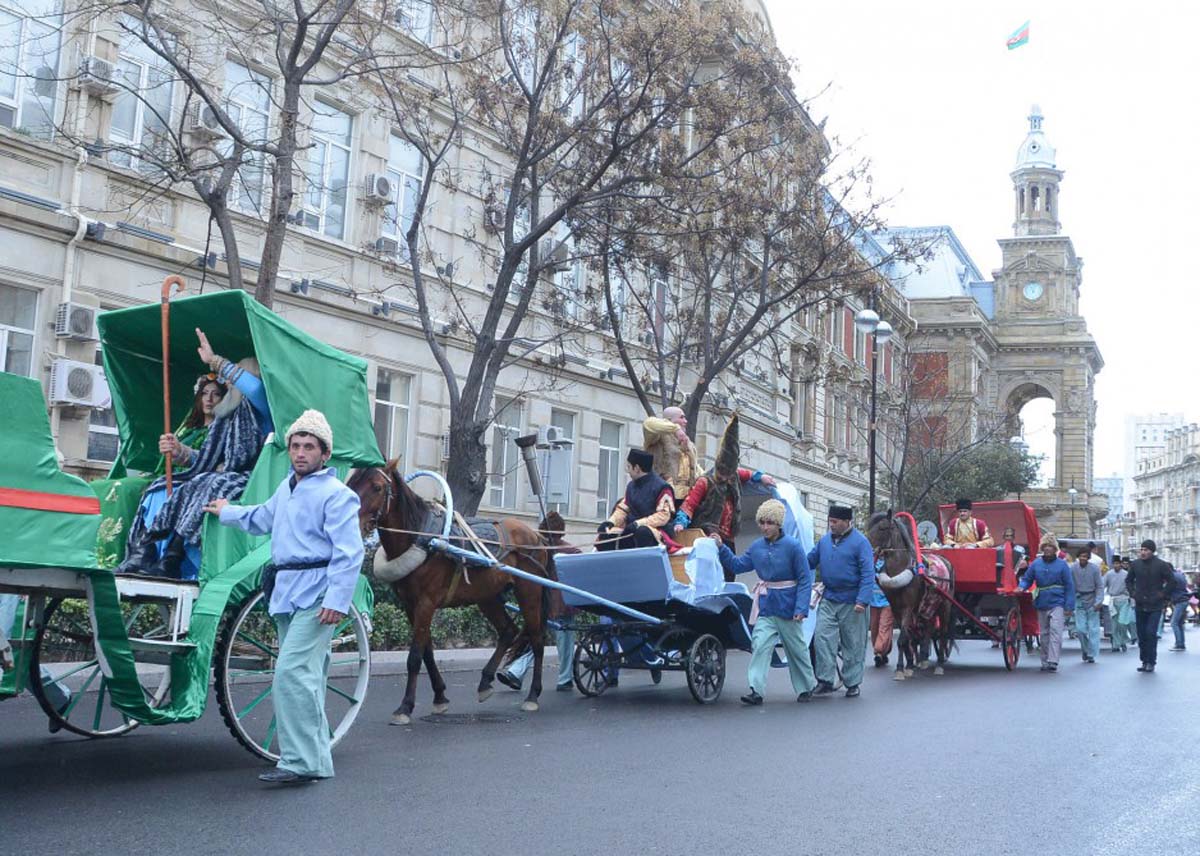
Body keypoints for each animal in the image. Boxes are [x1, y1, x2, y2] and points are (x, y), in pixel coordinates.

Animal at [348, 461, 552, 720]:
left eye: (377, 487)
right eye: (352, 482)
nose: (352, 521)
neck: (422, 538)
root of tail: (537, 536)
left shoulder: (426, 603)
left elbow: (415, 656)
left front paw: (405, 706)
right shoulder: (410, 605)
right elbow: (427, 652)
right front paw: (439, 696)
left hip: (529, 592)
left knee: (537, 639)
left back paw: (533, 695)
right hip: (487, 596)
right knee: (508, 631)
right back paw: (485, 682)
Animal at [868, 511, 950, 677]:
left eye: (882, 528)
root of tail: (944, 560)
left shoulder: (907, 607)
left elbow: (902, 640)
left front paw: (900, 669)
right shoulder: (895, 609)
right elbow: (907, 638)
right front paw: (909, 665)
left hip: (945, 605)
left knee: (943, 634)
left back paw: (939, 664)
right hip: (929, 606)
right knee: (928, 629)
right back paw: (923, 659)